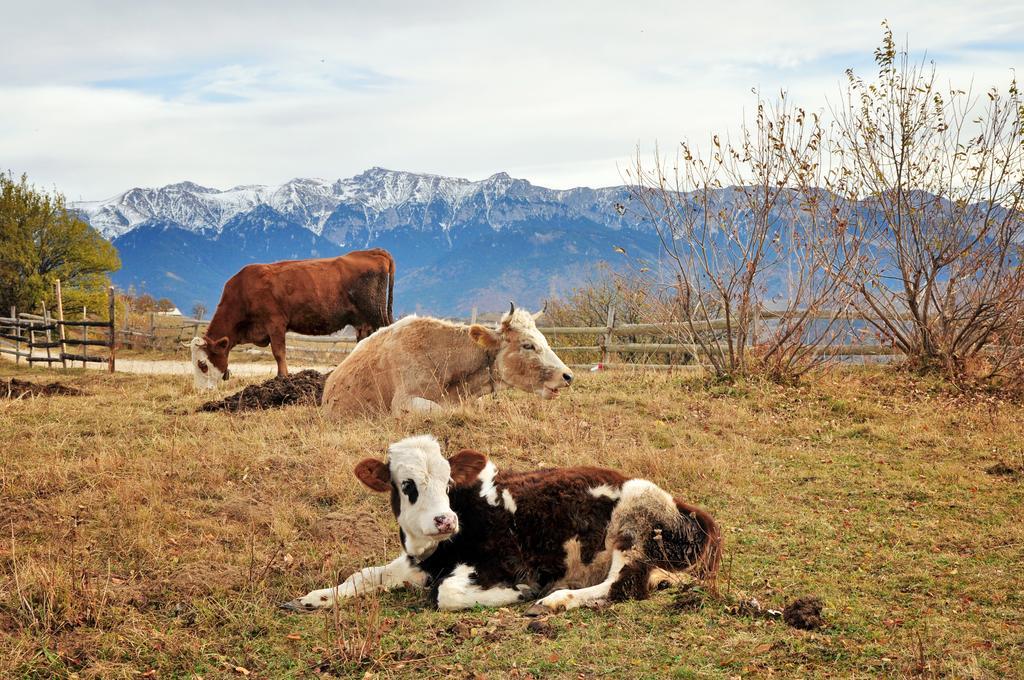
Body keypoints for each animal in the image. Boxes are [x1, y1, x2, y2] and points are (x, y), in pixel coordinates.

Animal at [188, 248, 395, 387]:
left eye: (203, 364)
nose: (201, 389)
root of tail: (372, 251)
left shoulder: (275, 322)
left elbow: (279, 352)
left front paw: (282, 378)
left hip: (376, 314)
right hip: (364, 321)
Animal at [282, 436, 720, 614]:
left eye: (448, 482)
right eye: (406, 485)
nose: (444, 520)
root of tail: (688, 508)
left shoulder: (505, 563)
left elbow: (446, 595)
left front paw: (520, 593)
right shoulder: (419, 562)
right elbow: (363, 575)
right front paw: (315, 597)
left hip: (634, 519)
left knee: (622, 585)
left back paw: (554, 601)